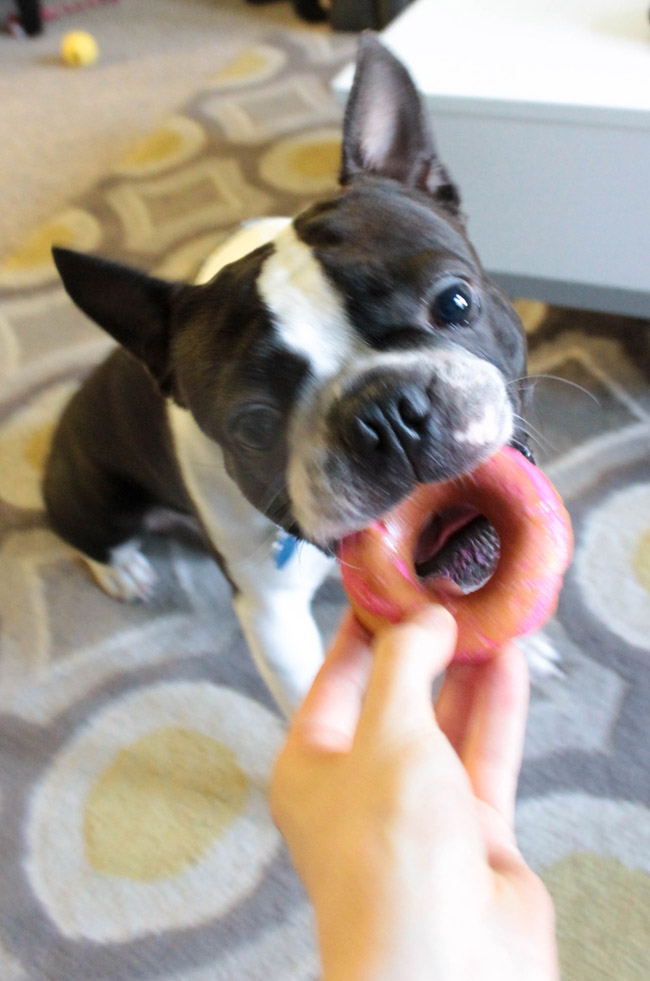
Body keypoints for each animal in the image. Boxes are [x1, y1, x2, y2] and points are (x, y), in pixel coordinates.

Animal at [43, 36, 528, 712]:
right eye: (254, 425)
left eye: (455, 302)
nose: (387, 415)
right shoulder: (272, 614)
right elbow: (305, 699)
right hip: (98, 497)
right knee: (89, 535)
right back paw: (121, 569)